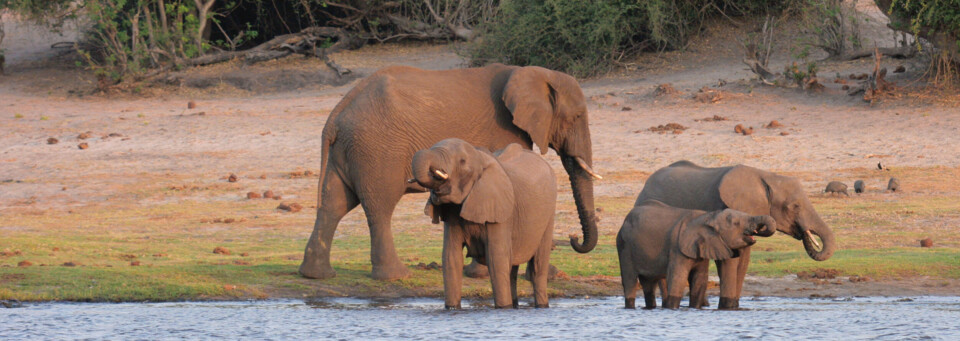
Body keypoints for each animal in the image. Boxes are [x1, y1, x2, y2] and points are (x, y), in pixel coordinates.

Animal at [300, 63, 600, 278]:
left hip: (349, 150)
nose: (573, 238)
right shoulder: (504, 132)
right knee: (380, 206)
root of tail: (335, 116)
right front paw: (482, 273)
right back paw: (396, 276)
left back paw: (317, 275)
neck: (534, 72)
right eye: (576, 117)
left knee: (334, 203)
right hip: (376, 149)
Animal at [410, 137, 556, 308]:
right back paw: (514, 306)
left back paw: (541, 306)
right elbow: (451, 258)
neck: (479, 157)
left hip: (549, 213)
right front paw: (452, 308)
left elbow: (496, 259)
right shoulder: (452, 214)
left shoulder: (501, 212)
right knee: (512, 269)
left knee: (537, 267)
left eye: (462, 161)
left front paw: (503, 308)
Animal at [620, 199, 776, 308]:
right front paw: (672, 308)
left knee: (649, 283)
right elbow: (678, 277)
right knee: (630, 280)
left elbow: (700, 278)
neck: (708, 216)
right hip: (624, 246)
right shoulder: (678, 248)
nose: (759, 229)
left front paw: (694, 308)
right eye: (736, 223)